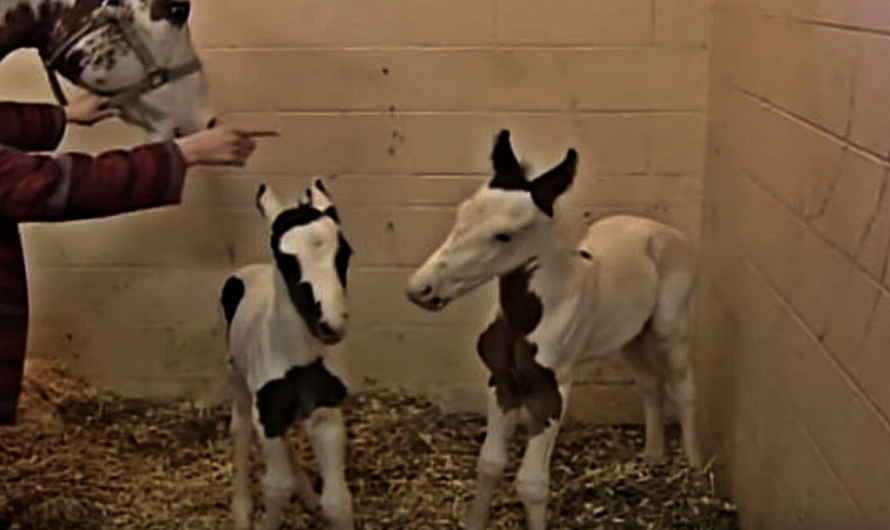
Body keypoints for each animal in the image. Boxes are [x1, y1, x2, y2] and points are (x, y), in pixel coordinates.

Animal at [222, 177, 354, 528]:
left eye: (345, 253)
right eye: (284, 259)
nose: (331, 324)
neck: (298, 360)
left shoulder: (324, 413)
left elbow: (337, 500)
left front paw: (319, 502)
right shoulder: (265, 414)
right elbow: (276, 486)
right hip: (238, 379)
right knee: (240, 428)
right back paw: (241, 510)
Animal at [406, 129, 704, 528]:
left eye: (504, 235)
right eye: (462, 213)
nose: (420, 288)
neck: (527, 319)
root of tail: (664, 232)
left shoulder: (552, 391)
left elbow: (531, 483)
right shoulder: (501, 382)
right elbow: (489, 463)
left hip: (671, 329)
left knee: (683, 388)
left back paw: (694, 468)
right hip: (630, 335)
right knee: (650, 384)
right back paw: (653, 457)